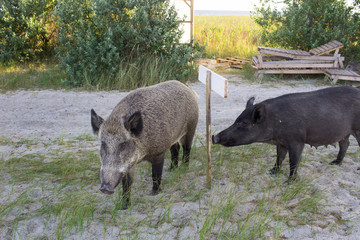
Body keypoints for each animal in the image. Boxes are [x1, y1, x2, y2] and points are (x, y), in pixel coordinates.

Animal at [212, 86, 360, 182]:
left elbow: (293, 161)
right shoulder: (281, 142)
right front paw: (272, 172)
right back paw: (334, 163)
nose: (214, 137)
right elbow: (279, 157)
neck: (275, 122)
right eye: (236, 120)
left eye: (243, 123)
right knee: (345, 144)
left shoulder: (297, 140)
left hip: (357, 129)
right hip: (344, 132)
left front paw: (289, 182)